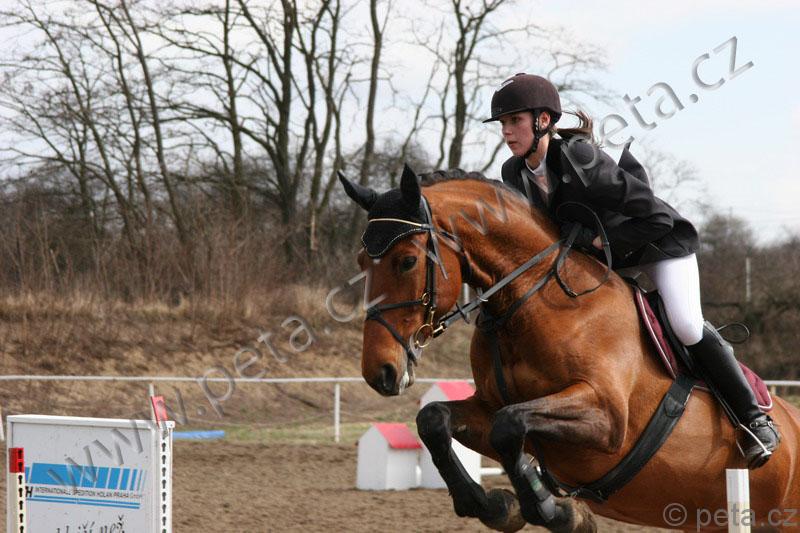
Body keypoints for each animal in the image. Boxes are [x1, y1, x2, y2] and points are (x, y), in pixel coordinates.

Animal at [339, 165, 800, 532]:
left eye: (406, 261)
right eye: (361, 262)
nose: (379, 372)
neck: (529, 300)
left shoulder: (607, 419)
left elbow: (510, 425)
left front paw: (551, 509)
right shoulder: (488, 407)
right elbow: (436, 420)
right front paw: (498, 506)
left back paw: (760, 434)